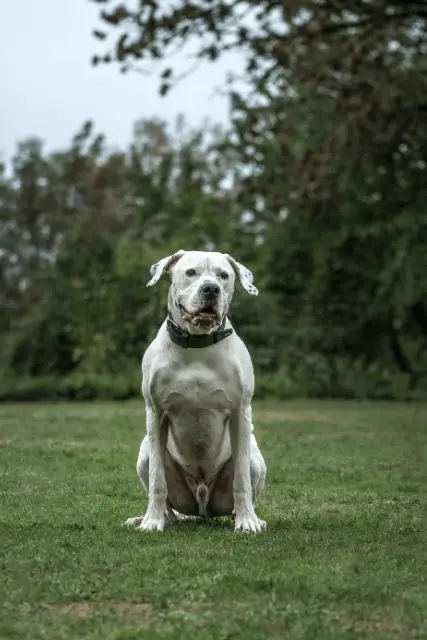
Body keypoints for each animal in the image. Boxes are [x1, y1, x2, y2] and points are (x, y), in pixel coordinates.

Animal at [124, 250, 268, 536]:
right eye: (191, 273)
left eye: (223, 275)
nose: (211, 289)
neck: (198, 345)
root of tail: (201, 509)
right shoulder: (156, 414)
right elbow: (157, 480)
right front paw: (152, 521)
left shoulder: (240, 412)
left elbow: (241, 480)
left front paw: (247, 522)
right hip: (144, 453)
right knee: (167, 500)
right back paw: (156, 518)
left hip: (256, 459)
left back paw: (251, 517)